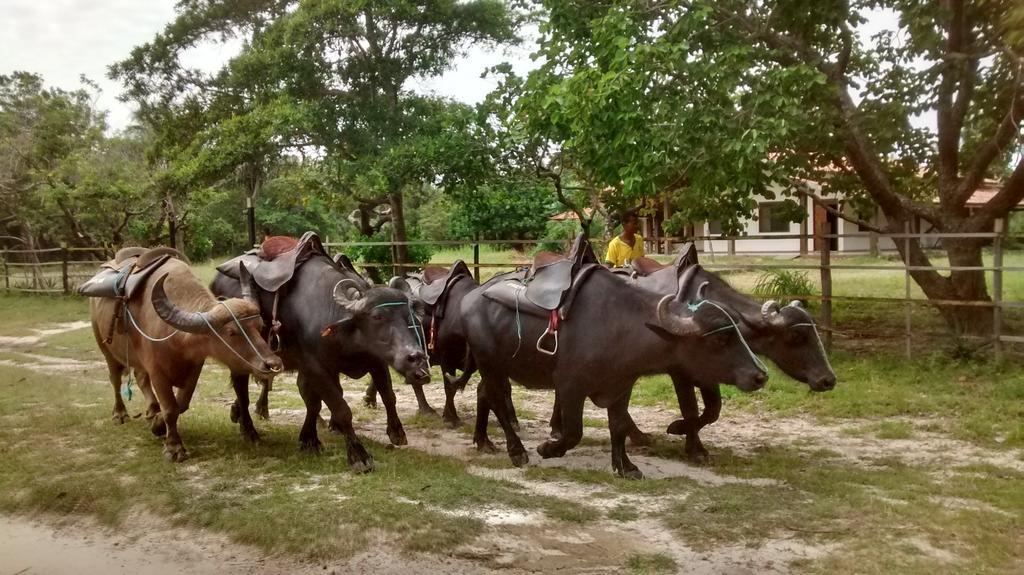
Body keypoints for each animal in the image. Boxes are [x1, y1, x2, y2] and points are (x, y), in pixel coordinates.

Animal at [211, 252, 428, 468]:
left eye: (409, 316)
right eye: (377, 317)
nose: (415, 357)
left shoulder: (375, 360)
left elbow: (387, 396)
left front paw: (396, 432)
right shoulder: (315, 367)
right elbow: (339, 407)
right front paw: (358, 455)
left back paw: (238, 413)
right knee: (242, 390)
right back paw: (249, 431)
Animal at [464, 263, 770, 474]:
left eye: (738, 332)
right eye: (719, 339)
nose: (760, 376)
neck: (620, 327)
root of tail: (472, 298)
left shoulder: (622, 386)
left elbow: (618, 425)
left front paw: (625, 466)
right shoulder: (569, 386)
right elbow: (573, 432)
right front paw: (548, 448)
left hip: (496, 367)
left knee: (484, 393)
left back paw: (483, 440)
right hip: (490, 363)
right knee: (497, 400)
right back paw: (516, 451)